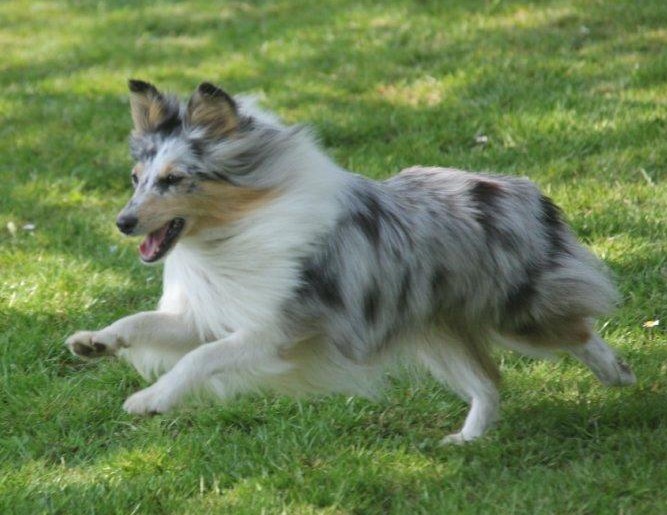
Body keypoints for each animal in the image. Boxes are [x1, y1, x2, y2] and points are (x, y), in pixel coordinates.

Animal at [66, 79, 636, 444]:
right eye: (136, 179)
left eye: (174, 180)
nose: (123, 222)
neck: (232, 232)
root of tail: (522, 189)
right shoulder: (211, 314)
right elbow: (143, 322)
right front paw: (95, 341)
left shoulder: (275, 331)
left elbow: (199, 359)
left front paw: (151, 400)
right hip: (437, 330)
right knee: (491, 383)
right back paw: (468, 440)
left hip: (515, 312)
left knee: (579, 329)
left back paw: (619, 375)